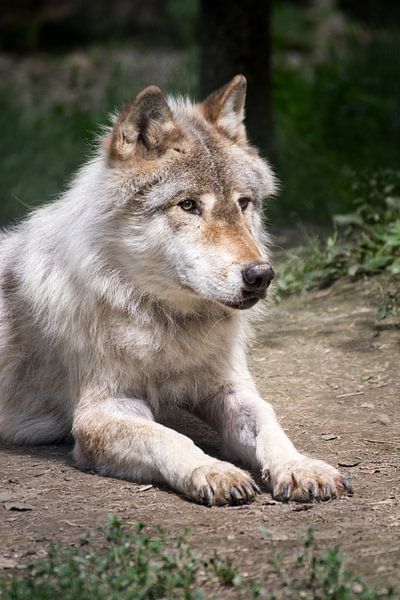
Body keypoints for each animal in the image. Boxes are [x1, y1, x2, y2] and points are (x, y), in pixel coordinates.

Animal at [0, 76, 350, 506]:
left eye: (243, 203)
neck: (168, 324)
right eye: (188, 205)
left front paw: (301, 466)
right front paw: (214, 471)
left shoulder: (228, 387)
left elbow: (268, 422)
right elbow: (170, 438)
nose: (261, 275)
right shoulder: (103, 411)